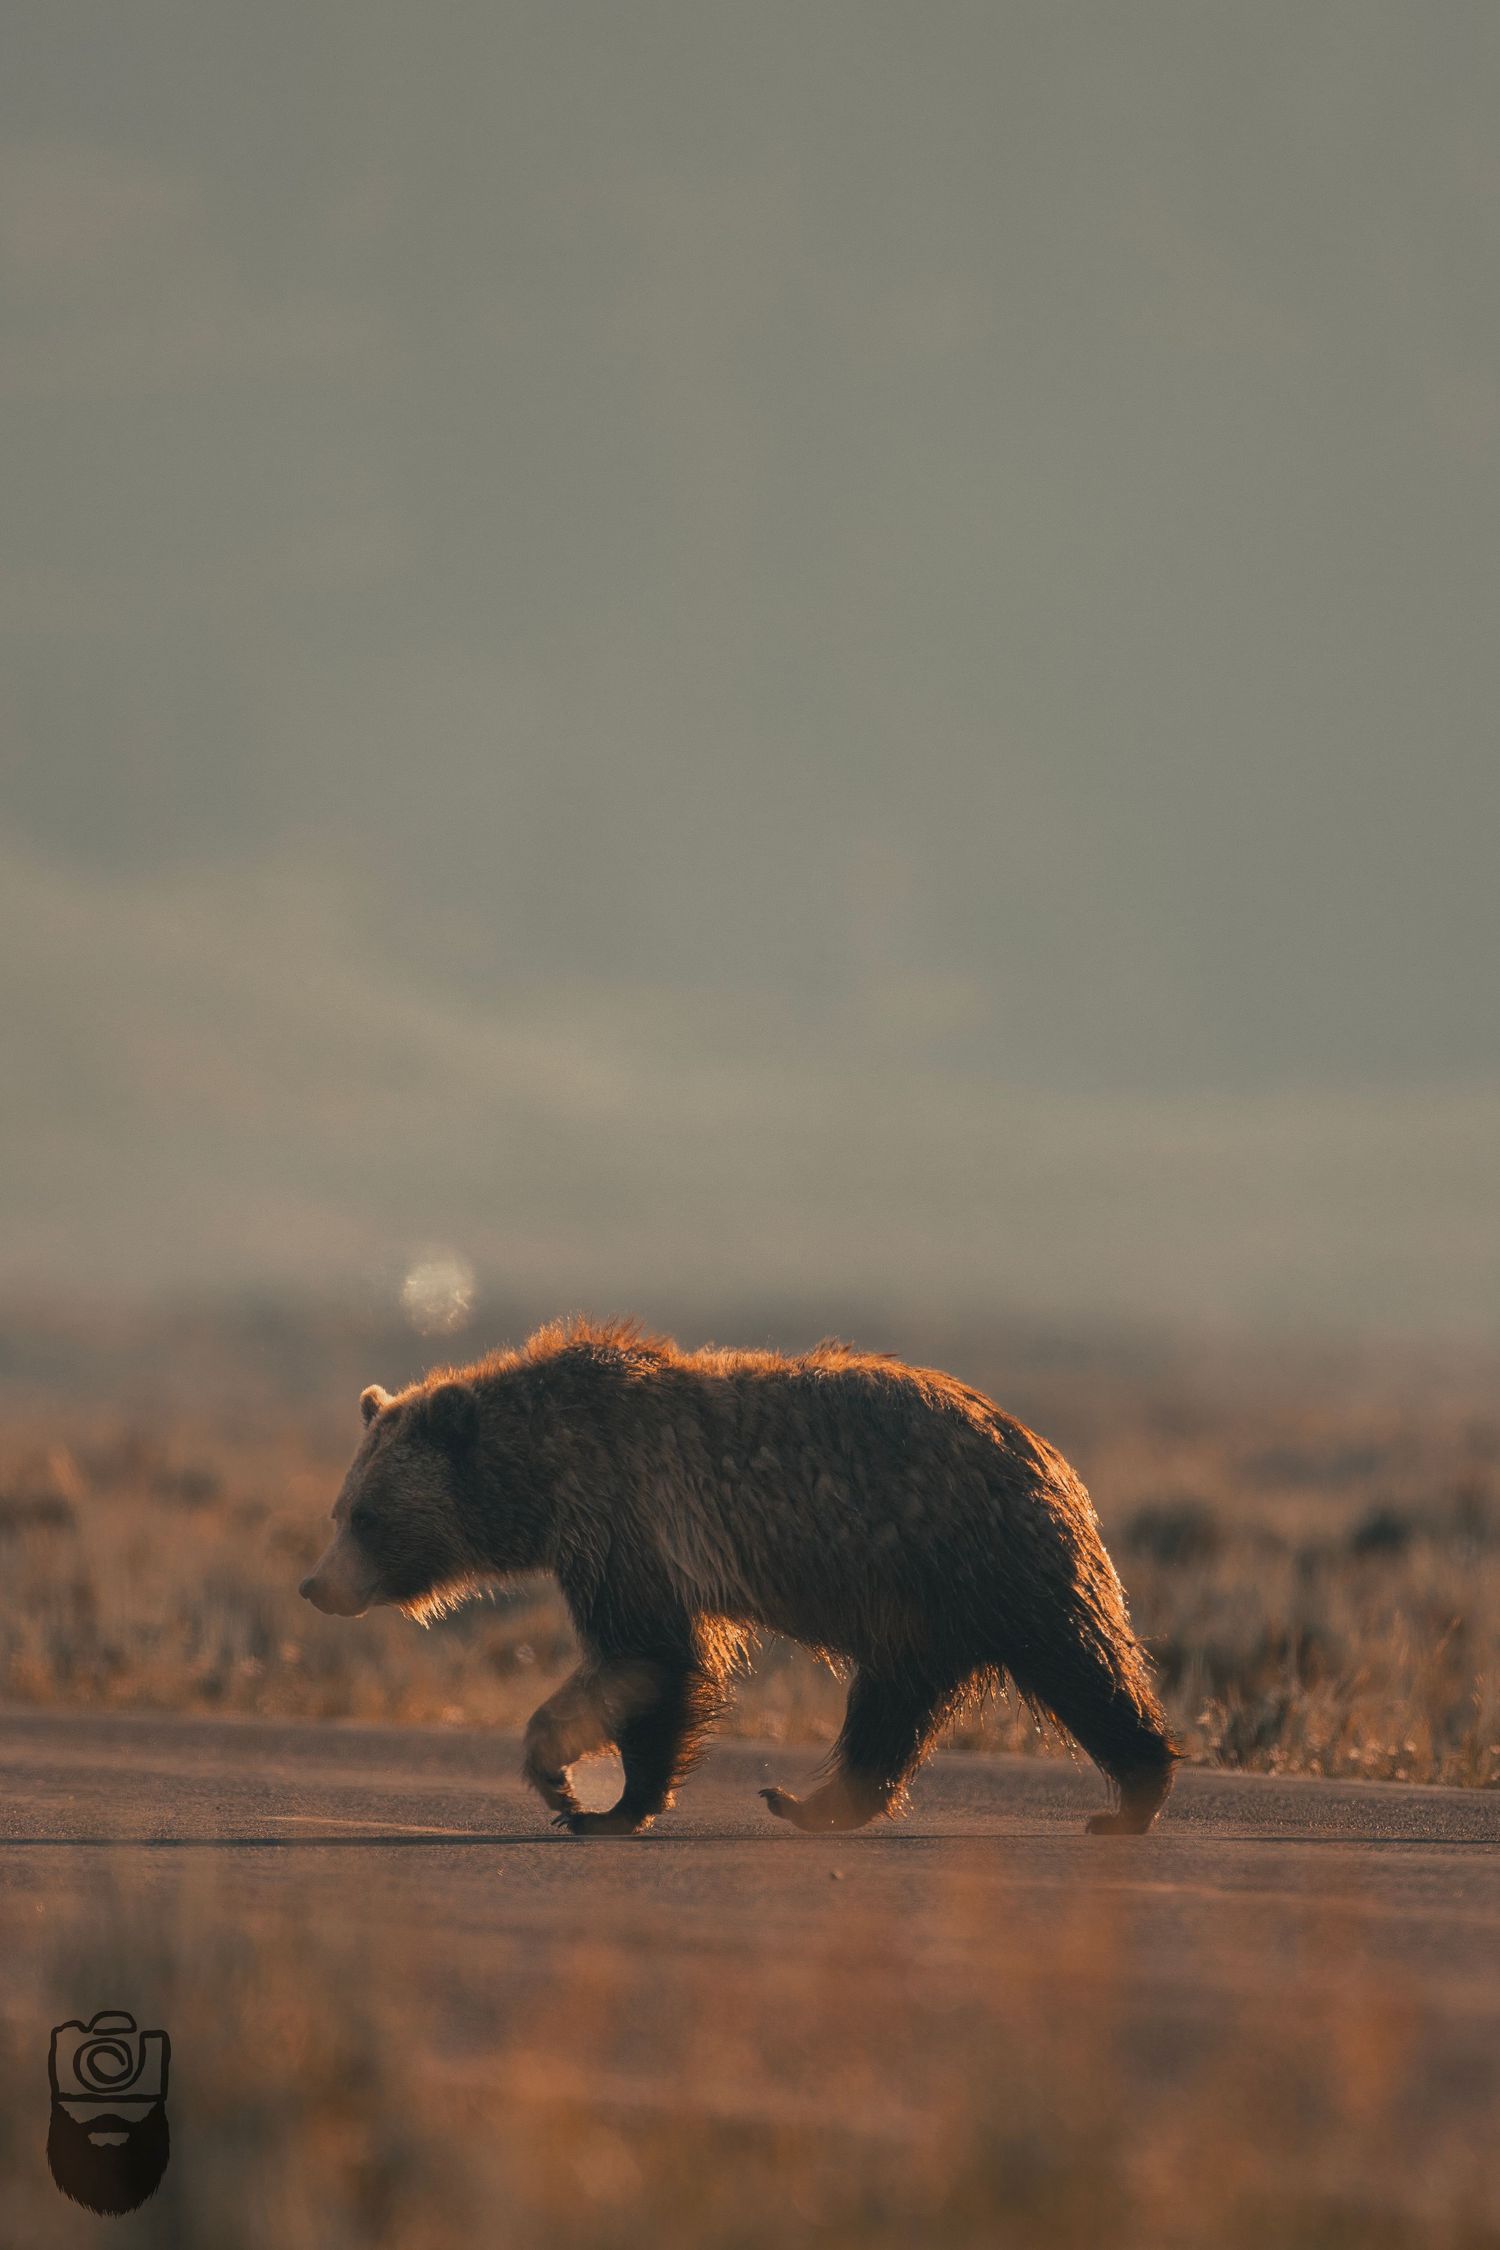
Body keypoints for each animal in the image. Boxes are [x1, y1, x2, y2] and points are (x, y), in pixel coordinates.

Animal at [299, 1317, 1176, 1837]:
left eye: (367, 1515)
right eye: (339, 1509)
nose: (317, 1586)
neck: (541, 1479)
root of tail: (1046, 1452)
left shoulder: (626, 1524)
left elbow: (645, 1659)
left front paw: (583, 1795)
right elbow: (652, 1665)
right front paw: (602, 1795)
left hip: (981, 1558)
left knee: (1081, 1667)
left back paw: (1133, 1796)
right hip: (921, 1611)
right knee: (892, 1707)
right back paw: (812, 1802)